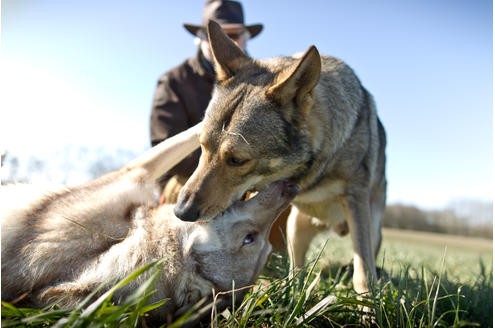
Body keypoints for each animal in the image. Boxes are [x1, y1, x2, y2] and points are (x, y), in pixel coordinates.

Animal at [174, 21, 388, 296]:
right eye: (202, 147)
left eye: (237, 160)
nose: (181, 212)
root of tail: (332, 226)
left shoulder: (356, 200)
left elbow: (363, 269)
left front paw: (367, 303)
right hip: (295, 229)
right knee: (297, 271)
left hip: (372, 229)